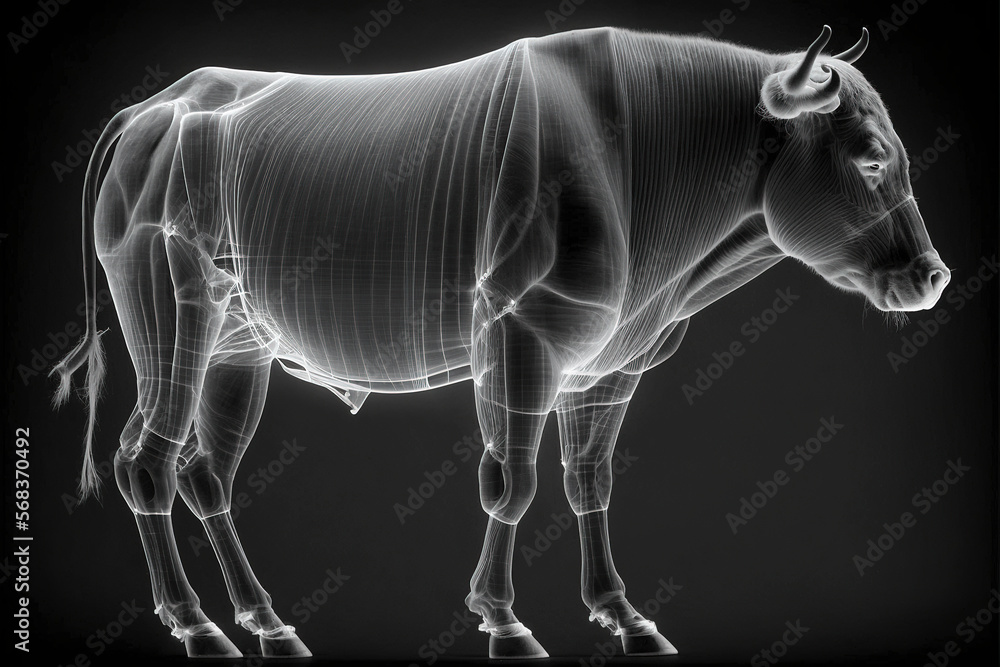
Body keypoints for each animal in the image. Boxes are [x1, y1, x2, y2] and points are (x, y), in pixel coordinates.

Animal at [51, 25, 950, 659]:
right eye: (872, 158)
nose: (935, 276)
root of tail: (162, 102)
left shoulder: (611, 363)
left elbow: (589, 480)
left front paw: (623, 613)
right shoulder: (522, 333)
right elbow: (512, 481)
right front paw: (504, 619)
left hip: (239, 343)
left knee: (206, 469)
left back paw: (267, 622)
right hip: (173, 314)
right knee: (148, 459)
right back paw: (195, 623)